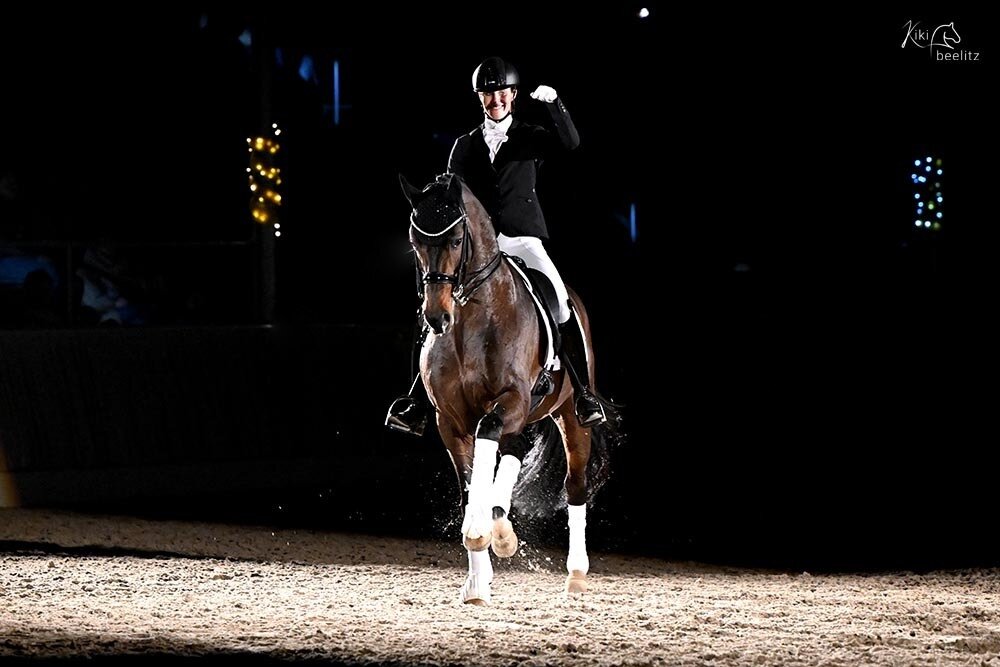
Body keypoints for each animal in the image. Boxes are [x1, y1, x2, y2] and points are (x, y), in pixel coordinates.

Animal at [399, 172, 620, 604]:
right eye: (415, 242)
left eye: (455, 240)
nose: (436, 318)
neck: (470, 320)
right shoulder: (450, 421)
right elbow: (471, 486)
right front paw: (476, 578)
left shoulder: (511, 402)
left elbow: (487, 449)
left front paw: (481, 533)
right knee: (512, 454)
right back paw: (499, 532)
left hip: (571, 417)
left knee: (575, 487)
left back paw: (576, 573)